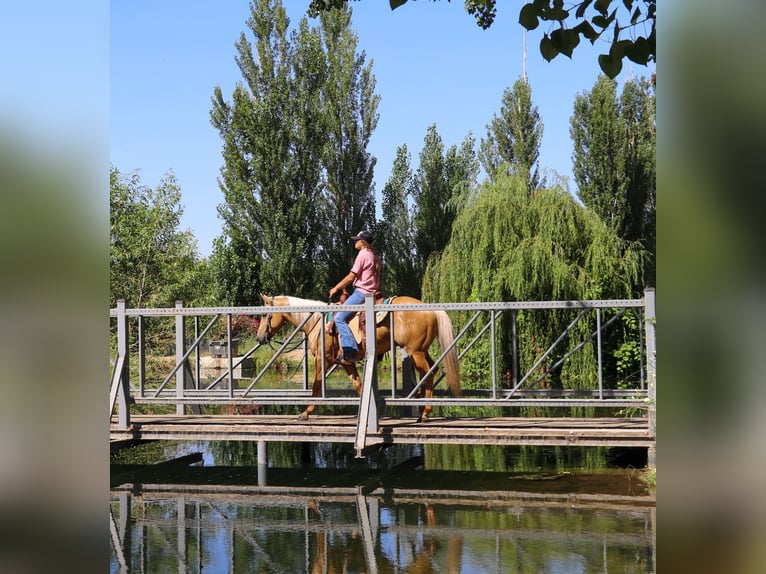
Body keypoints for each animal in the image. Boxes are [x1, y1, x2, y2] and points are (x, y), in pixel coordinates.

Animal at [255, 294, 460, 422]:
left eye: (265, 314)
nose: (259, 337)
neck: (317, 322)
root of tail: (431, 310)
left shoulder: (323, 359)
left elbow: (316, 386)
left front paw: (306, 413)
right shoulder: (346, 362)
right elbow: (358, 385)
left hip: (415, 352)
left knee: (428, 373)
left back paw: (425, 413)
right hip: (423, 350)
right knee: (433, 369)